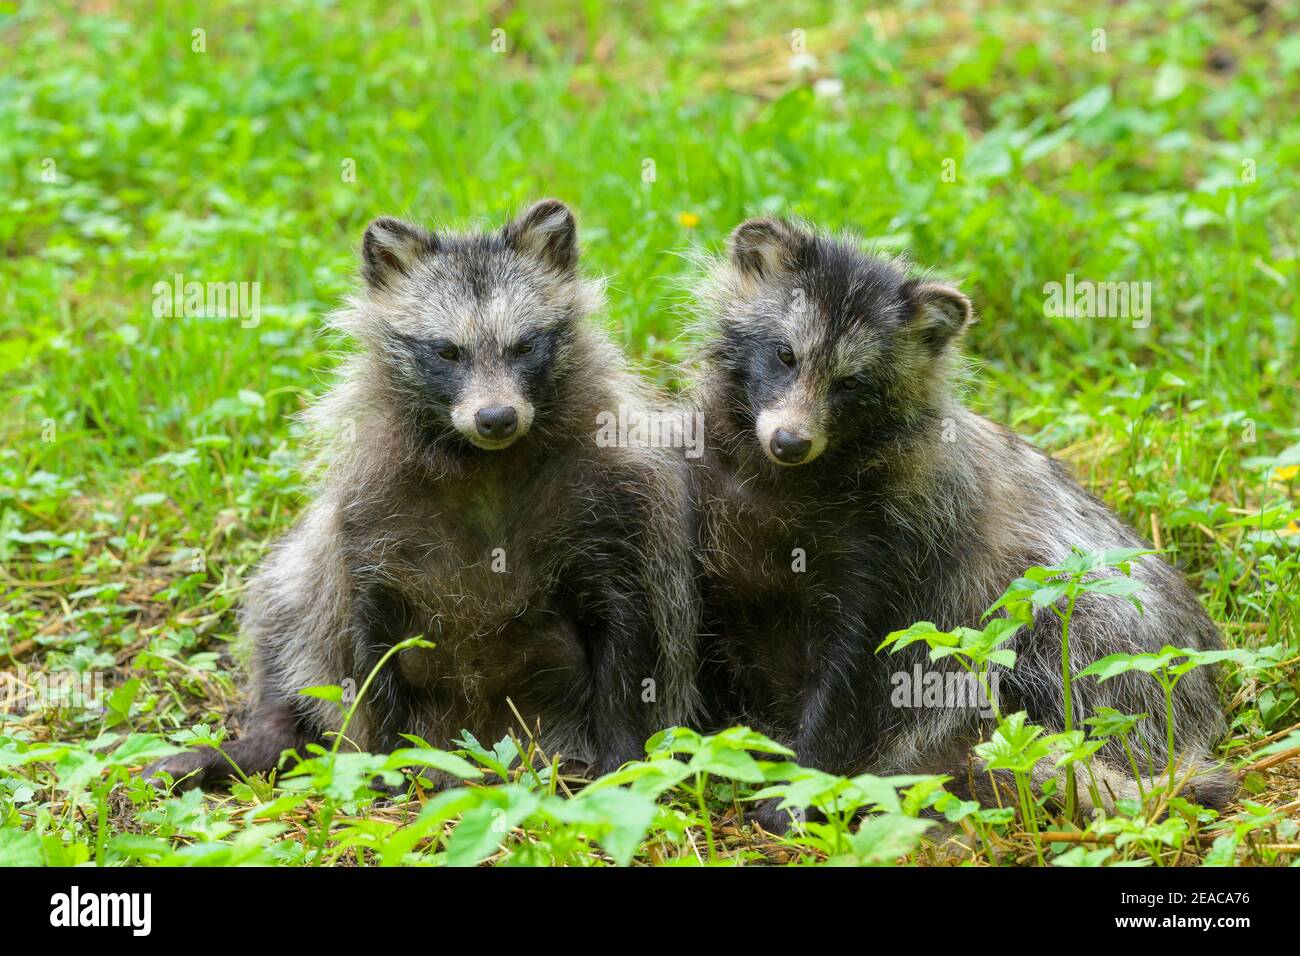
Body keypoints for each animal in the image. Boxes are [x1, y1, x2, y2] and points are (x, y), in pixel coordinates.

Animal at [149, 197, 702, 790]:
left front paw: (623, 758)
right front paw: (382, 764)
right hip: (312, 571)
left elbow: (624, 643)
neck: (485, 463)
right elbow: (368, 649)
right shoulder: (370, 519)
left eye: (525, 345)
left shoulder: (608, 503)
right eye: (447, 351)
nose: (496, 417)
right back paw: (260, 739)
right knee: (284, 608)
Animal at [691, 217, 1227, 832]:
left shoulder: (899, 543)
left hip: (1106, 630)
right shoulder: (715, 511)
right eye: (784, 355)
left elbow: (858, 669)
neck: (788, 481)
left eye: (852, 383)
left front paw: (802, 788)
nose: (789, 441)